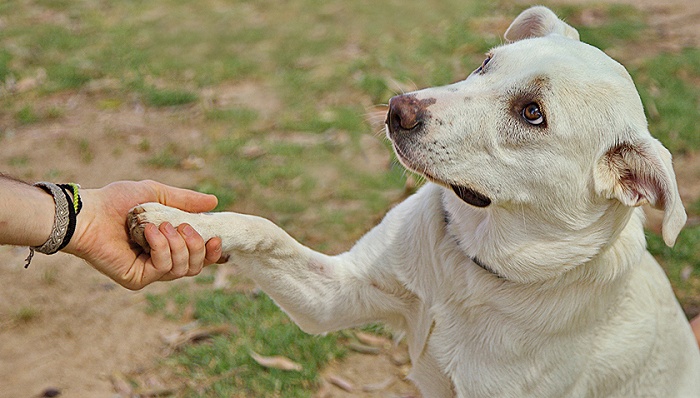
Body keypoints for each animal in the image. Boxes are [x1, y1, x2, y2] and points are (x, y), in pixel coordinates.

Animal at [129, 7, 696, 398]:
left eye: (532, 113)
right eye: (484, 64)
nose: (397, 108)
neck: (472, 268)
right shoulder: (335, 296)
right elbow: (262, 228)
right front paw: (177, 221)